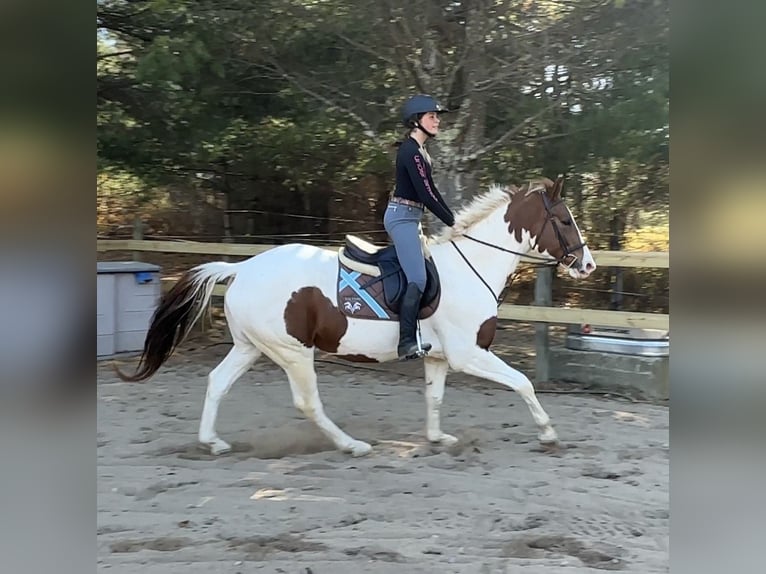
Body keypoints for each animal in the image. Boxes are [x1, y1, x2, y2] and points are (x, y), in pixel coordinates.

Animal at [121, 178, 600, 456]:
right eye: (564, 219)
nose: (588, 264)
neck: (470, 267)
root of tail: (243, 269)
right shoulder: (469, 354)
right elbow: (522, 382)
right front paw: (548, 434)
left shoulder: (439, 357)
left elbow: (435, 398)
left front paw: (436, 439)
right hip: (293, 353)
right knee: (308, 403)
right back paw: (352, 445)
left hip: (249, 347)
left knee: (217, 382)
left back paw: (212, 442)